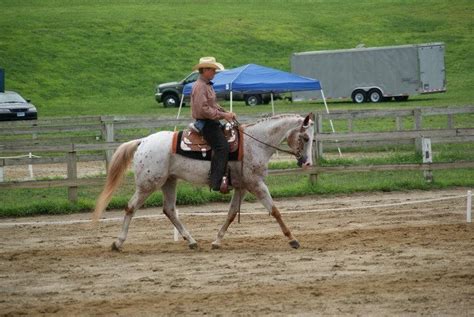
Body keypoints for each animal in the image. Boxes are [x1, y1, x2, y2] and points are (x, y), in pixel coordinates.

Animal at [92, 113, 314, 249]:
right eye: (305, 138)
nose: (307, 162)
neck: (254, 143)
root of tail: (143, 141)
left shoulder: (242, 187)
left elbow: (231, 214)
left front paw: (216, 241)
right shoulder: (256, 184)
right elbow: (275, 210)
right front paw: (293, 239)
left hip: (169, 182)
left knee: (169, 210)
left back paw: (191, 241)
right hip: (148, 184)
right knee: (131, 207)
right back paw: (118, 243)